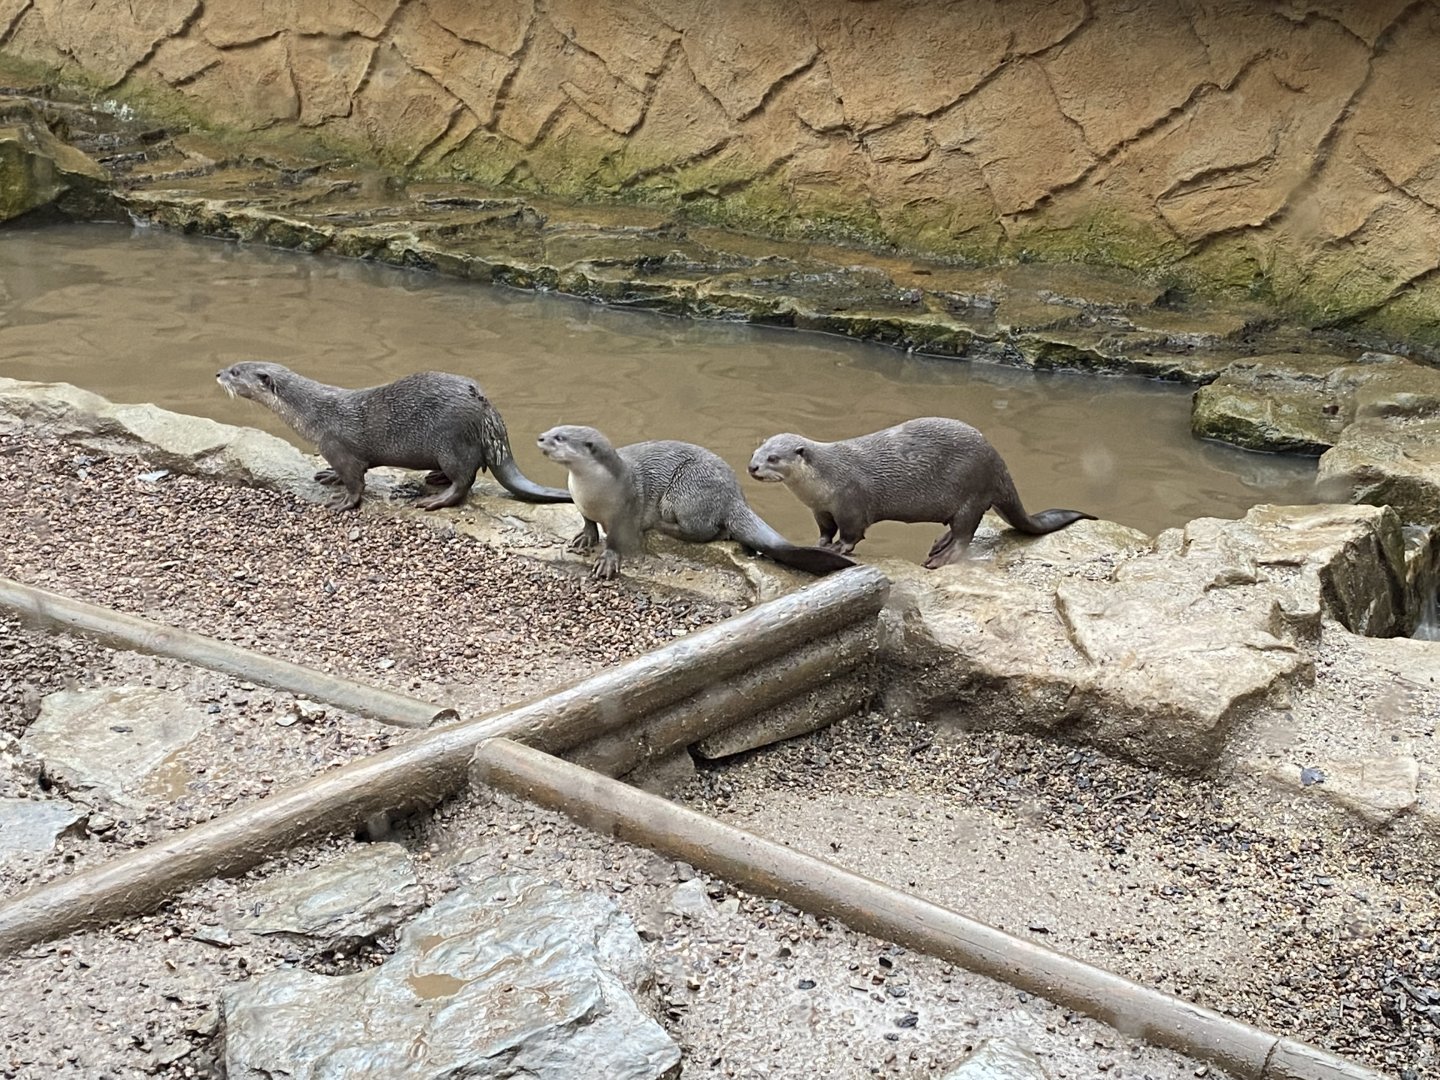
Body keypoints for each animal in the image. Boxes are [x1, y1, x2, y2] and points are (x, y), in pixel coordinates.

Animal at [216, 362, 570, 511]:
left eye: (236, 372)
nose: (217, 373)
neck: (313, 413)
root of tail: (486, 409)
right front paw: (329, 476)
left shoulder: (337, 445)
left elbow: (356, 481)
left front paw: (343, 502)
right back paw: (434, 478)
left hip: (452, 442)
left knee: (464, 481)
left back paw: (434, 499)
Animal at [535, 424, 856, 580]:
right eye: (552, 430)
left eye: (559, 437)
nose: (540, 438)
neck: (593, 490)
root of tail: (735, 497)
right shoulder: (581, 502)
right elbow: (587, 520)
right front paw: (585, 537)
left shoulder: (625, 509)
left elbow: (617, 539)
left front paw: (608, 560)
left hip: (686, 492)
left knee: (705, 530)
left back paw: (663, 526)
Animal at [748, 417, 1095, 569]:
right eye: (756, 452)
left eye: (773, 458)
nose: (752, 467)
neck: (825, 480)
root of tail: (998, 461)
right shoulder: (821, 509)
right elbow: (824, 530)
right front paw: (819, 544)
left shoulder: (850, 502)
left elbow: (851, 534)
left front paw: (838, 549)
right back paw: (939, 543)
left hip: (972, 492)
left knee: (966, 531)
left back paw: (943, 557)